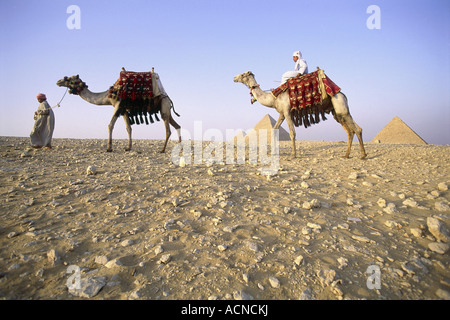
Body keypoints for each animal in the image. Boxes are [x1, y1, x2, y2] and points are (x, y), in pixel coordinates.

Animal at [234, 71, 368, 159]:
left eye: (243, 74)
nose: (234, 77)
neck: (273, 98)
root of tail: (343, 94)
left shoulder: (287, 111)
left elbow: (292, 133)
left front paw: (293, 154)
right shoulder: (282, 114)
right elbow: (274, 130)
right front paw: (272, 152)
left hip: (340, 106)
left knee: (356, 129)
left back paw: (362, 155)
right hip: (337, 113)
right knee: (351, 130)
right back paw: (346, 155)